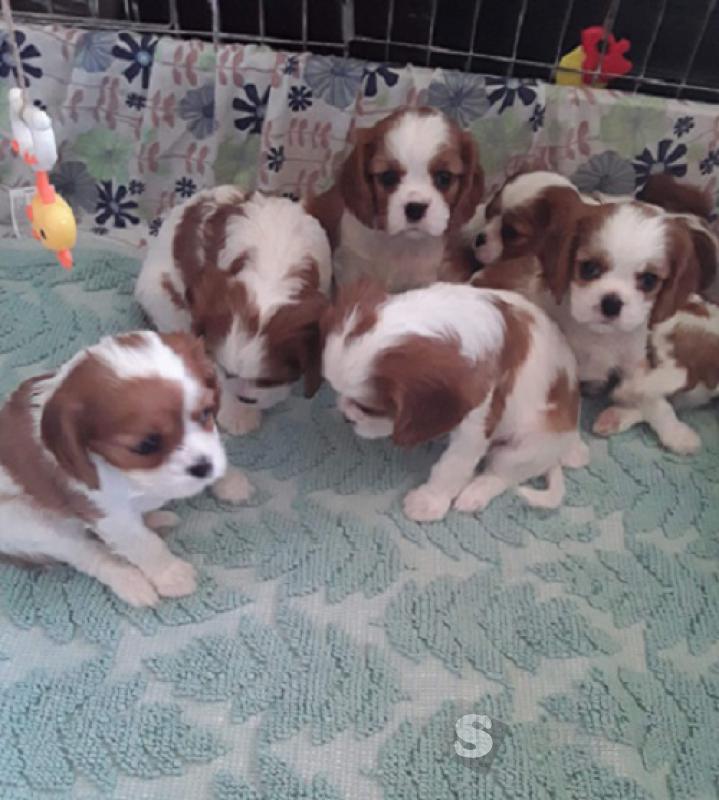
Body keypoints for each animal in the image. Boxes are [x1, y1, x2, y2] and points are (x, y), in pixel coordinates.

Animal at [0, 330, 250, 606]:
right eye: (146, 445)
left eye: (206, 413)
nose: (203, 467)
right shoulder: (109, 514)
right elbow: (142, 544)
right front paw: (171, 574)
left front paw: (229, 480)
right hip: (30, 523)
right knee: (88, 554)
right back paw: (131, 582)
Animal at [136, 188, 332, 435]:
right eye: (228, 373)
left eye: (270, 380)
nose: (246, 399)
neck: (273, 268)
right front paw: (237, 412)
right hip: (160, 297)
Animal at [308, 107, 484, 292]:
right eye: (388, 177)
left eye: (444, 177)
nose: (415, 208)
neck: (399, 243)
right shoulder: (350, 269)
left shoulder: (420, 279)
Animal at [321, 281, 588, 522]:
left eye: (368, 409)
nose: (345, 417)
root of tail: (557, 452)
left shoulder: (479, 416)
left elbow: (452, 464)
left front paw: (429, 501)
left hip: (530, 442)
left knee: (501, 474)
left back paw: (475, 492)